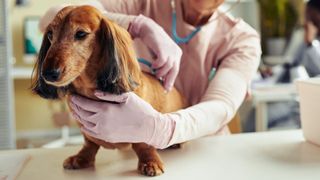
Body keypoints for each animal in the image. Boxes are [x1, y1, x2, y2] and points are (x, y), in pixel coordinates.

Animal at [31, 5, 186, 177]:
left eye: (81, 34)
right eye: (50, 34)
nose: (48, 73)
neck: (89, 89)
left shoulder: (145, 126)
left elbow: (144, 145)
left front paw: (150, 162)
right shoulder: (86, 131)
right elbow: (89, 144)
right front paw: (82, 158)